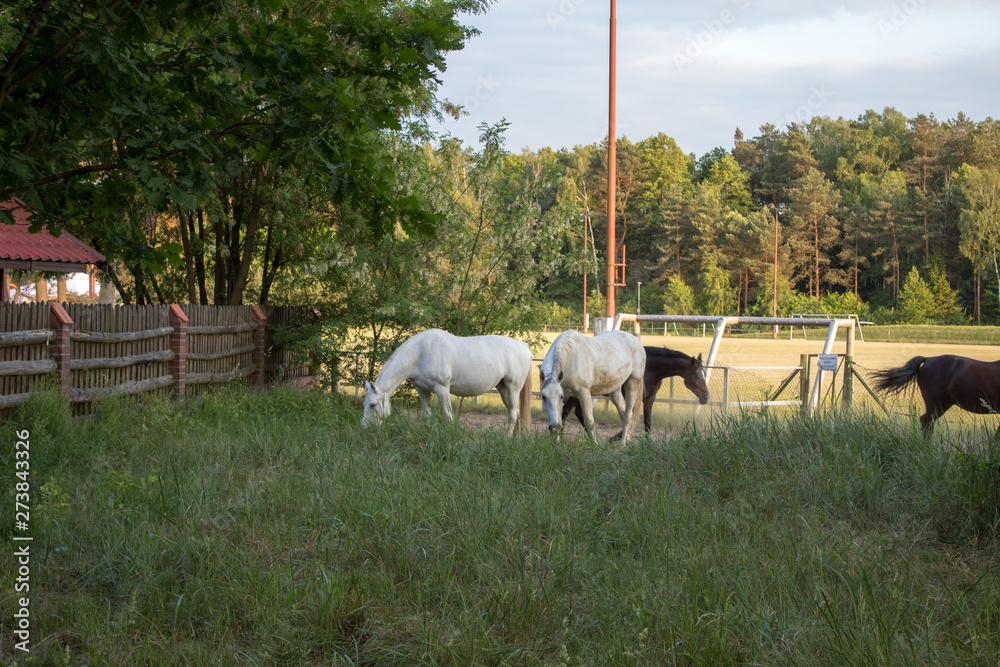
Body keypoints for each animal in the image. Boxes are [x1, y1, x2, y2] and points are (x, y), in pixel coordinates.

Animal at [362, 329, 533, 434]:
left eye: (373, 405)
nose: (365, 428)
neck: (421, 352)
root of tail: (523, 345)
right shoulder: (422, 389)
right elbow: (426, 415)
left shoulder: (442, 388)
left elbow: (447, 416)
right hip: (502, 388)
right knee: (515, 413)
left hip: (513, 388)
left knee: (512, 415)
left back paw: (507, 438)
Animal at [562, 346, 709, 435]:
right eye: (697, 375)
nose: (706, 397)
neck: (649, 368)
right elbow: (630, 418)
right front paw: (614, 438)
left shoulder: (650, 398)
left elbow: (647, 422)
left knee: (572, 411)